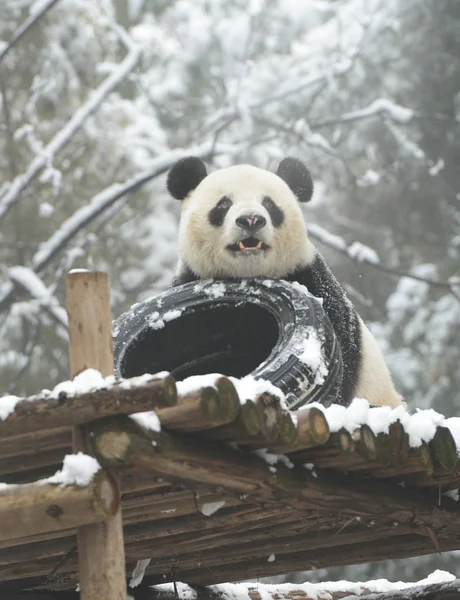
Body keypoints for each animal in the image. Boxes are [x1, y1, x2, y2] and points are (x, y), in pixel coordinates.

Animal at [166, 155, 402, 408]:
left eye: (269, 204)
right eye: (223, 205)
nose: (251, 220)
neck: (248, 275)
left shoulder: (315, 284)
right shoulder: (190, 279)